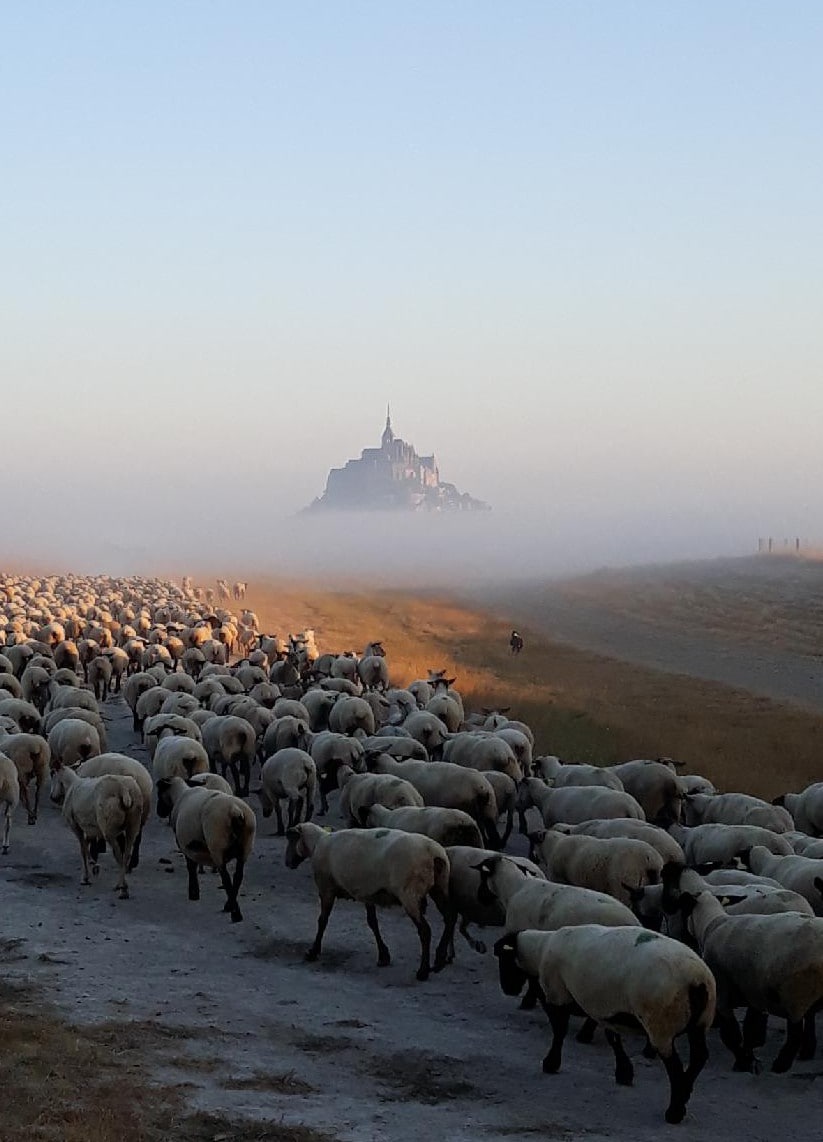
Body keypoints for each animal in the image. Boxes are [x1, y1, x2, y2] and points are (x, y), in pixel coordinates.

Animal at [48, 762, 141, 895]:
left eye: (52, 774)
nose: (52, 797)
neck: (71, 785)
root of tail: (123, 789)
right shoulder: (91, 829)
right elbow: (87, 844)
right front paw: (93, 865)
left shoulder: (75, 825)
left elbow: (82, 848)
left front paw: (86, 876)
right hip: (133, 824)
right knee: (126, 854)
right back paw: (124, 884)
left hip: (108, 828)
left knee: (118, 854)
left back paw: (121, 886)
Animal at [155, 771, 255, 922]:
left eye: (160, 791)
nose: (159, 812)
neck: (180, 794)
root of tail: (235, 810)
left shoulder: (184, 844)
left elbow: (191, 866)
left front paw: (193, 893)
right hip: (245, 846)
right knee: (238, 876)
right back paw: (230, 906)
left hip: (217, 844)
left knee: (225, 877)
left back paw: (234, 913)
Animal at [283, 822, 449, 982]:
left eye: (291, 839)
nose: (287, 862)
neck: (318, 842)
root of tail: (433, 853)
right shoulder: (367, 893)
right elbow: (372, 922)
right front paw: (383, 955)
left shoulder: (326, 889)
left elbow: (322, 921)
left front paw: (313, 952)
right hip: (439, 888)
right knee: (449, 919)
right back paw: (440, 961)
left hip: (409, 894)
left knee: (425, 930)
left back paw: (423, 971)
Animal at [495, 927, 712, 1123]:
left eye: (504, 959)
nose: (508, 989)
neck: (540, 949)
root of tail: (696, 980)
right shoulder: (607, 1009)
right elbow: (613, 1038)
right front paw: (624, 1073)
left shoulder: (558, 995)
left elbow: (559, 1031)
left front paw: (551, 1063)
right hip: (700, 1023)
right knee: (699, 1057)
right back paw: (685, 1093)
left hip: (661, 1023)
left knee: (674, 1066)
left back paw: (674, 1112)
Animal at [527, 826, 666, 904]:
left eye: (534, 842)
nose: (532, 858)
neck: (553, 846)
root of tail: (650, 860)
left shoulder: (559, 879)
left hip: (625, 888)